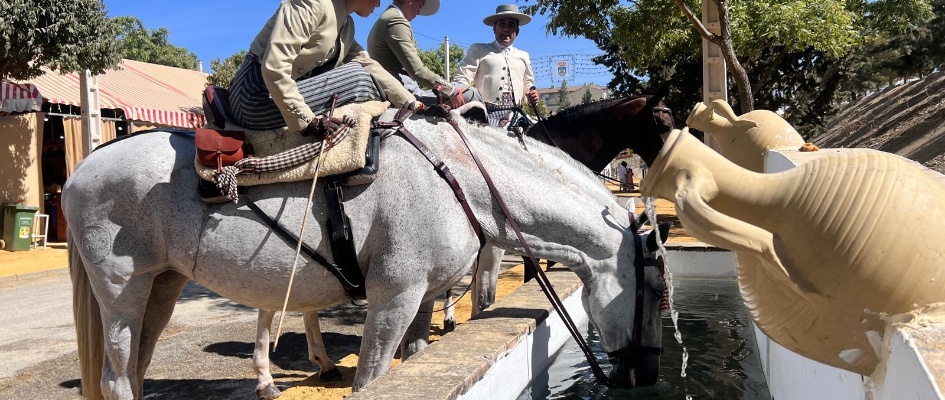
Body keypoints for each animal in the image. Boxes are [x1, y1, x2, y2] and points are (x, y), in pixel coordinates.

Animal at [64, 110, 668, 399]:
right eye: (657, 289)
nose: (646, 375)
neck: (460, 179)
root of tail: (84, 166)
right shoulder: (393, 299)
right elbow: (371, 379)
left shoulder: (422, 301)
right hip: (121, 292)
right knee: (117, 379)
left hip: (161, 287)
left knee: (135, 373)